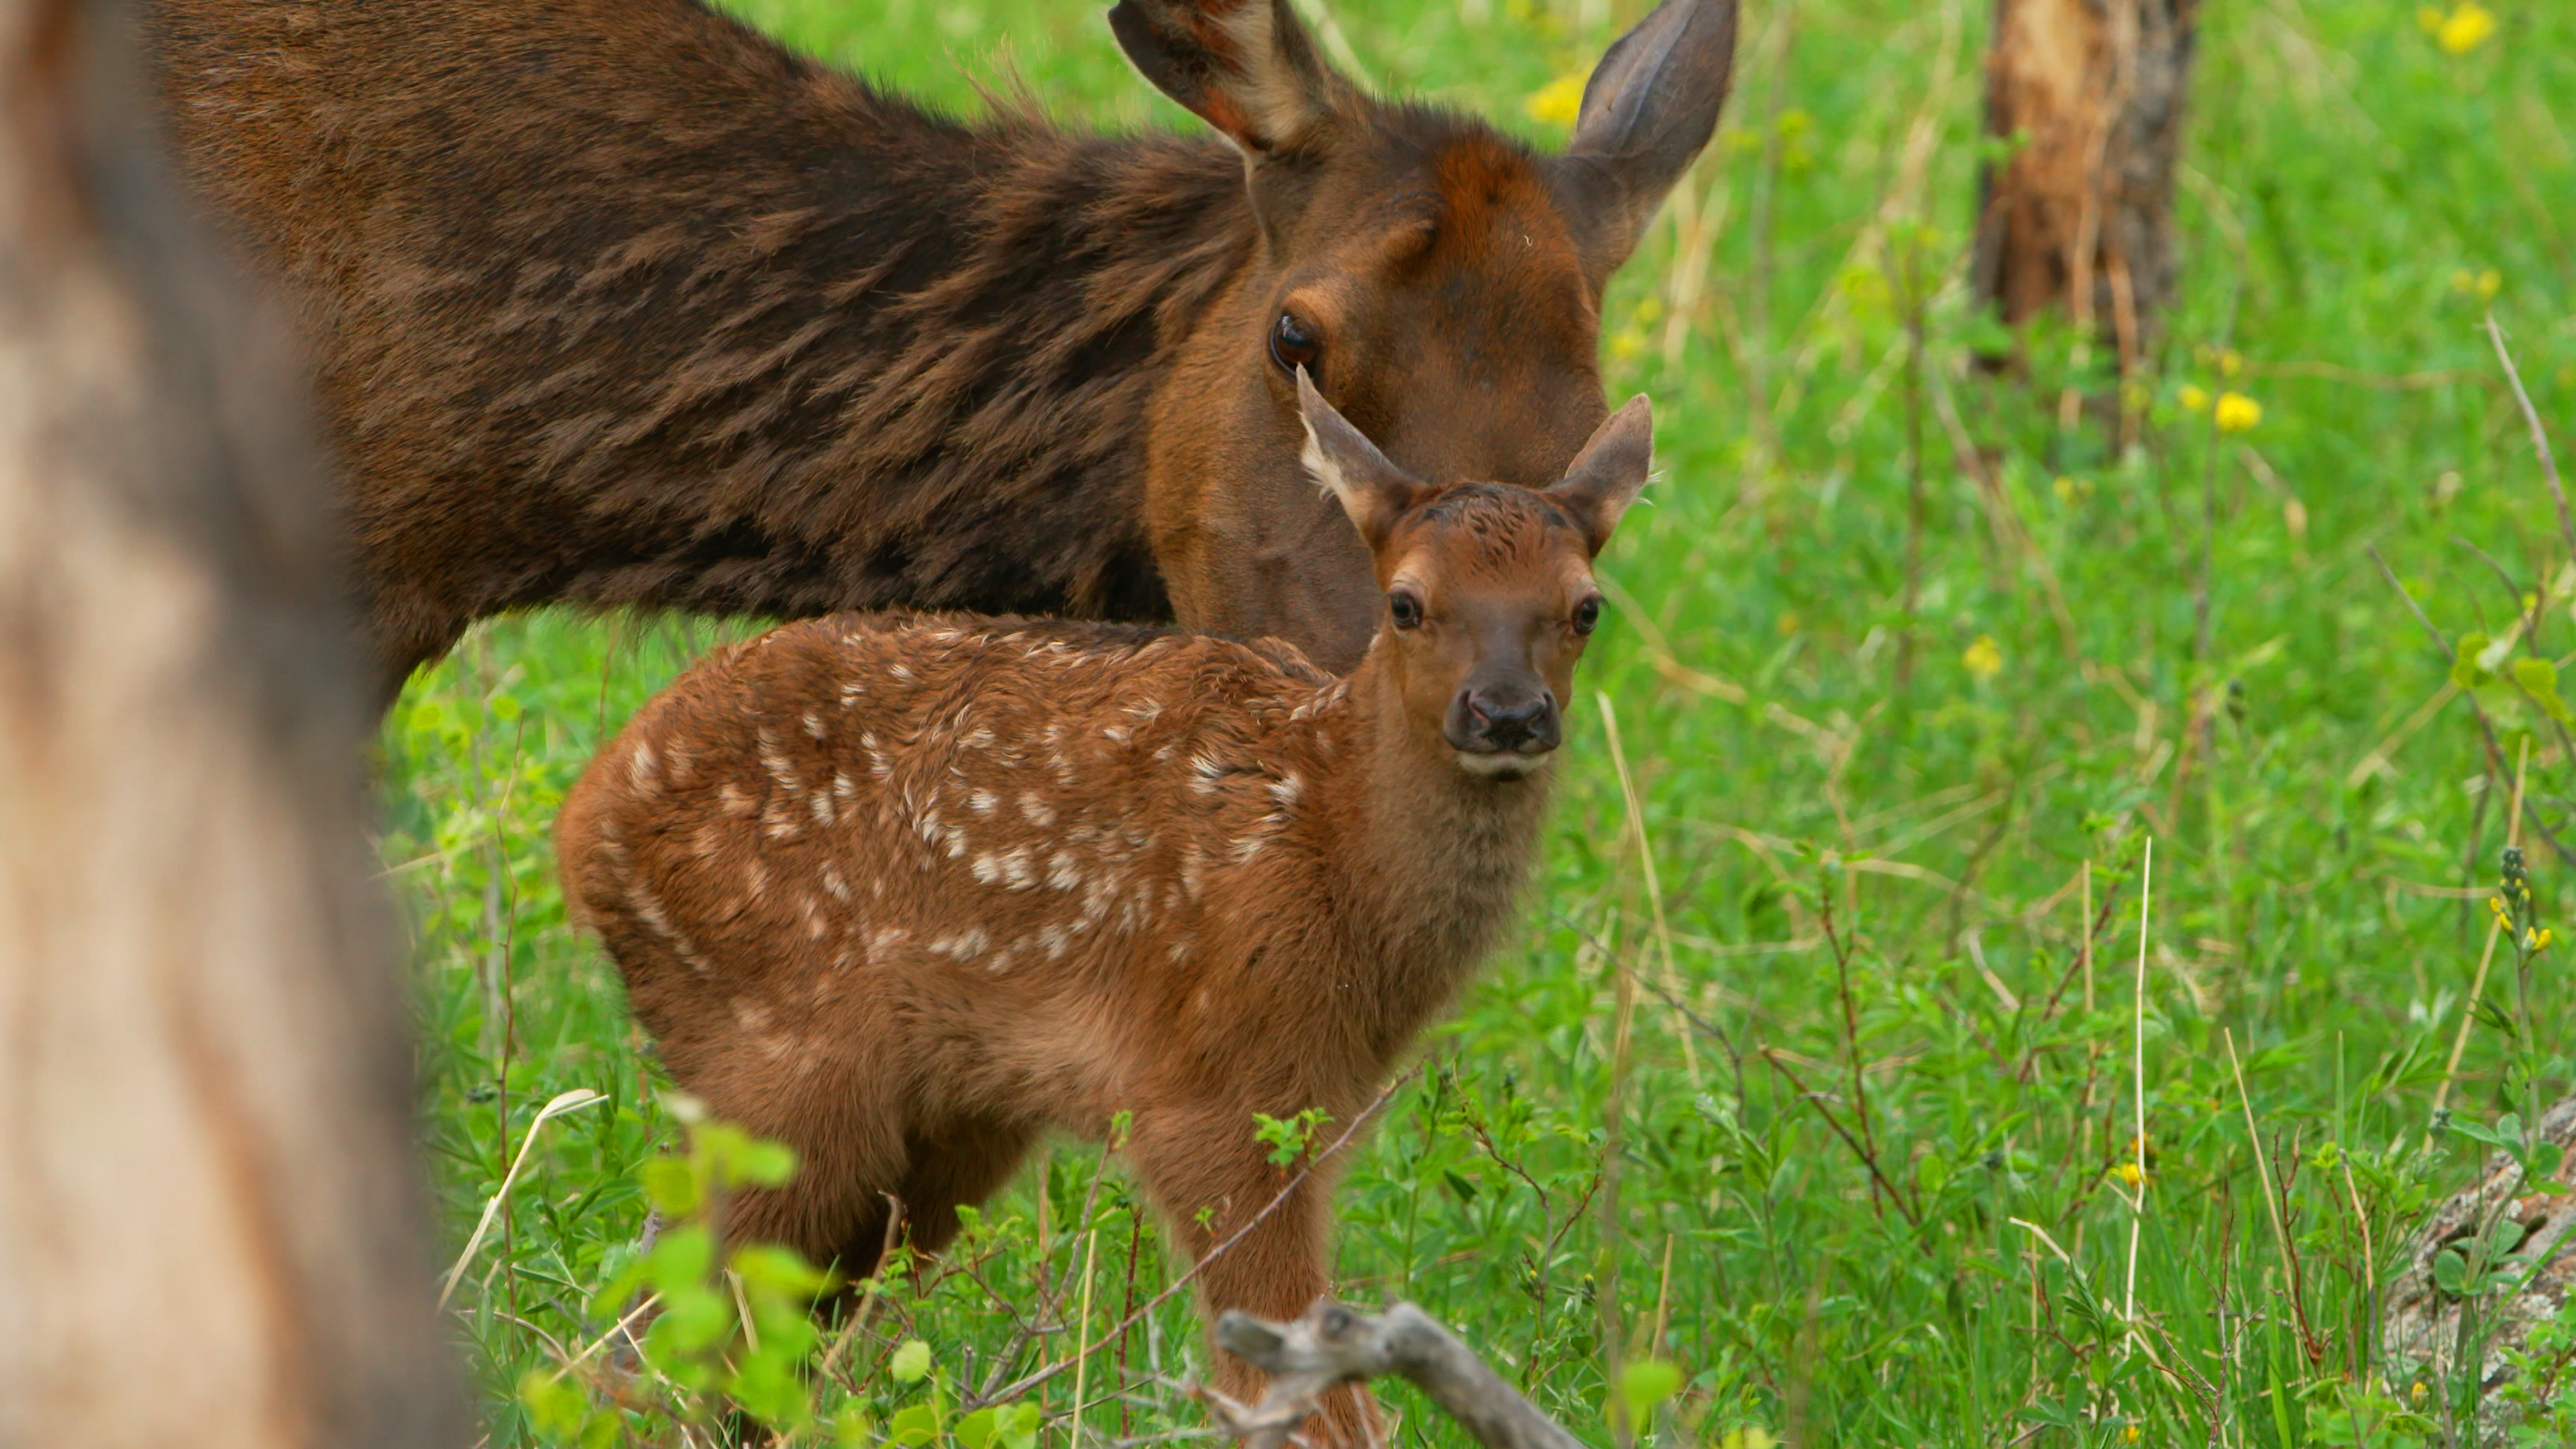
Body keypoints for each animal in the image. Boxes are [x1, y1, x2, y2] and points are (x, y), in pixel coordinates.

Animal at [555, 372, 1654, 1444]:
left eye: (1587, 607)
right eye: (1407, 602)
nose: (1506, 713)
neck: (1331, 846)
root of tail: (582, 825)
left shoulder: (1319, 1113)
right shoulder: (1209, 1095)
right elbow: (1306, 1397)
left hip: (938, 1117)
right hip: (778, 1053)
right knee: (650, 1339)